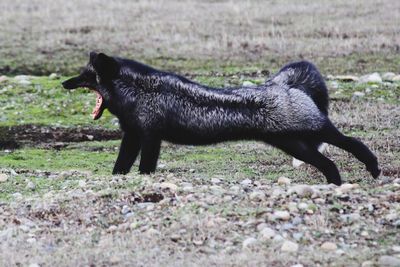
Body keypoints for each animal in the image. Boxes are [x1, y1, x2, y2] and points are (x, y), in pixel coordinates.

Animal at [62, 52, 382, 186]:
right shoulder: (132, 136)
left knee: (352, 142)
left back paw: (373, 168)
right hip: (296, 146)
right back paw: (335, 186)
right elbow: (120, 167)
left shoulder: (151, 137)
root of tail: (283, 85)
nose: (65, 83)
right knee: (329, 164)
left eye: (86, 75)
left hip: (317, 131)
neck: (136, 91)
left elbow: (145, 168)